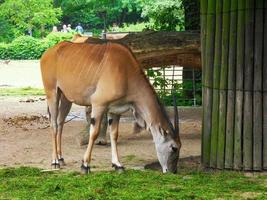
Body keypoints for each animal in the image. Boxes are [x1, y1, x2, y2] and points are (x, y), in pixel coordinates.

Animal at [40, 39, 182, 173]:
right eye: (174, 147)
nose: (173, 171)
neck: (126, 71)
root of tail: (49, 52)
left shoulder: (115, 110)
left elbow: (114, 135)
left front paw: (117, 164)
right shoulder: (98, 104)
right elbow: (94, 133)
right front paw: (85, 165)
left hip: (65, 98)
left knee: (60, 123)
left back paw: (61, 158)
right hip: (52, 93)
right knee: (53, 124)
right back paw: (55, 161)